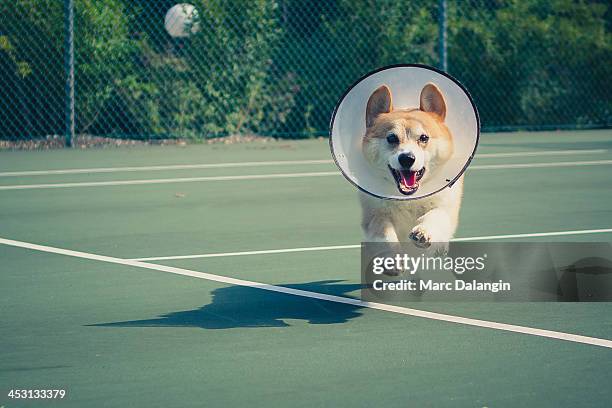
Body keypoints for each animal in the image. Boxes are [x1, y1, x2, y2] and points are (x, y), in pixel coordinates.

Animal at [358, 83, 464, 249]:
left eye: (424, 137)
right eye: (391, 138)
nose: (407, 158)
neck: (409, 198)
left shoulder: (445, 209)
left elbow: (434, 215)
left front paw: (423, 231)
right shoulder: (375, 216)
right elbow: (386, 236)